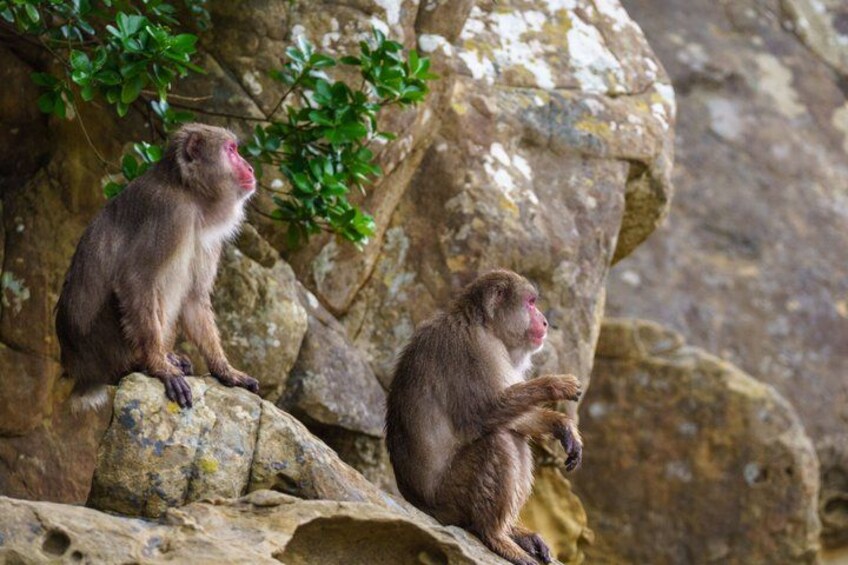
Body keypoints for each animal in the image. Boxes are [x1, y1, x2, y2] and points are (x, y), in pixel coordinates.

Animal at [55, 123, 260, 410]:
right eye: (231, 150)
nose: (250, 168)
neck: (190, 193)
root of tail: (80, 371)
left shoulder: (209, 238)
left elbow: (194, 299)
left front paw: (225, 370)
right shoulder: (168, 214)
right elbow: (135, 281)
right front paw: (159, 366)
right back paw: (144, 361)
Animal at [386, 270, 583, 565]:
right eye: (531, 302)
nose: (545, 321)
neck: (485, 326)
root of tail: (415, 501)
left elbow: (509, 419)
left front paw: (561, 425)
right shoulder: (474, 351)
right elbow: (483, 414)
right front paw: (555, 385)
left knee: (512, 436)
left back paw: (512, 532)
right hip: (449, 499)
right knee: (500, 441)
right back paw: (495, 536)